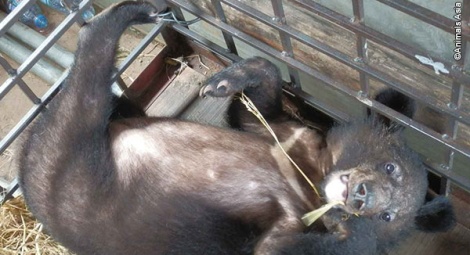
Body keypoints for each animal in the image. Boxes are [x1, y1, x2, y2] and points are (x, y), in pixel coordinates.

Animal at [19, 0, 456, 254]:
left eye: (389, 218)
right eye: (390, 166)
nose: (363, 199)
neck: (314, 173)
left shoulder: (286, 226)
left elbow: (283, 248)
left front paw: (341, 226)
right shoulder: (289, 138)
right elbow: (252, 112)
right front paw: (227, 79)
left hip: (69, 167)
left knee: (85, 91)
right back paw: (141, 11)